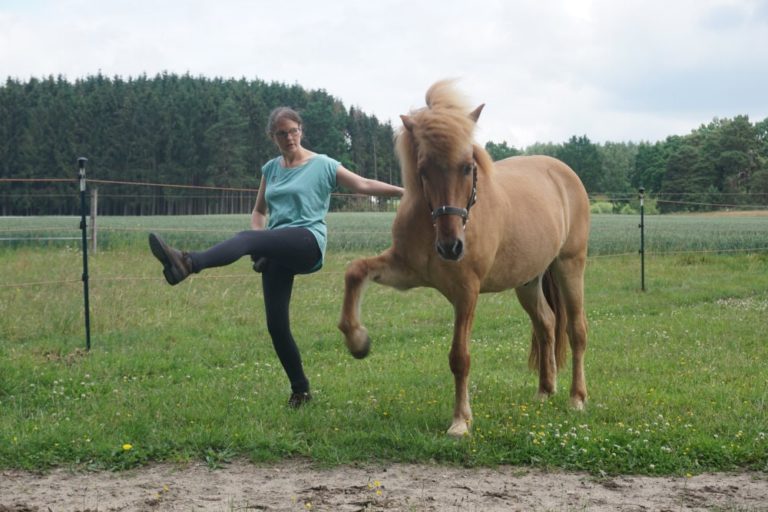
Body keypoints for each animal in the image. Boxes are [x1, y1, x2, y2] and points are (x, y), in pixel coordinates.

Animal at [338, 80, 590, 437]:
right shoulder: (404, 271)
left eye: (468, 167)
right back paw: (544, 390)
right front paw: (358, 340)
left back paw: (577, 398)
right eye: (423, 169)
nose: (451, 247)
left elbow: (460, 357)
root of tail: (563, 173)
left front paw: (460, 421)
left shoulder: (467, 291)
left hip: (570, 265)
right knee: (546, 325)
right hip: (528, 282)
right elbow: (356, 271)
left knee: (576, 330)